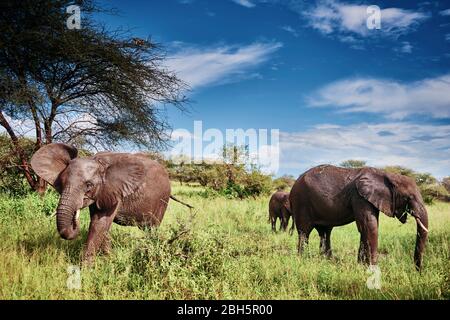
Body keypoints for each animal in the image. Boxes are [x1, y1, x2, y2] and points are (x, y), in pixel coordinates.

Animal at [30, 144, 192, 264]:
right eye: (62, 183)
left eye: (89, 185)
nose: (75, 221)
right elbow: (100, 224)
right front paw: (108, 258)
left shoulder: (114, 190)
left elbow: (99, 223)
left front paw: (85, 270)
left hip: (162, 200)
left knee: (152, 228)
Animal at [288, 165, 428, 270]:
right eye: (408, 198)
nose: (418, 271)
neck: (385, 175)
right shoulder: (360, 197)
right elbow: (369, 227)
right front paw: (372, 269)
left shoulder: (370, 198)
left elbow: (365, 228)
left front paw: (361, 266)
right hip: (301, 202)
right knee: (304, 232)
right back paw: (302, 259)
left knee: (325, 232)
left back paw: (327, 260)